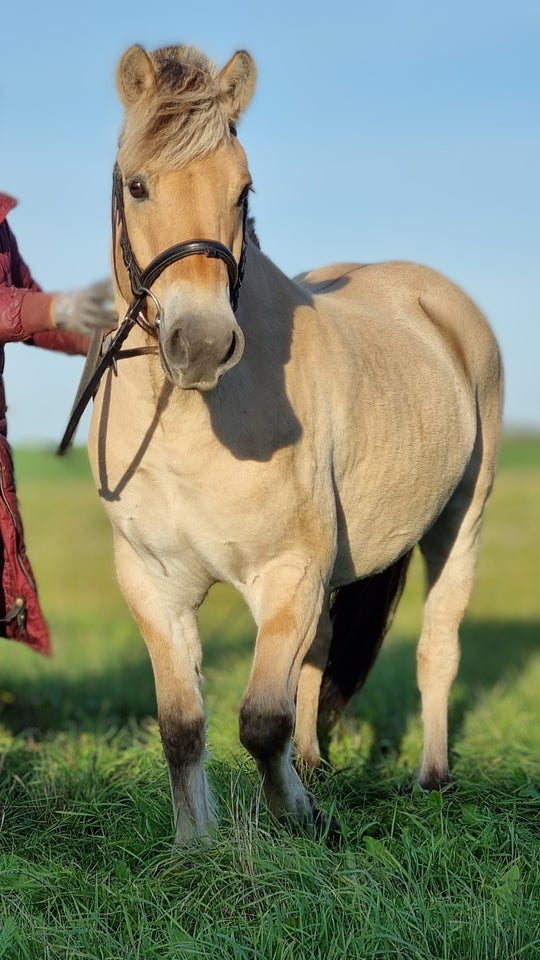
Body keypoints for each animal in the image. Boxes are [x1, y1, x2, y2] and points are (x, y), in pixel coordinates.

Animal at [86, 41, 504, 844]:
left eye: (242, 189)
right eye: (138, 185)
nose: (202, 344)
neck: (196, 428)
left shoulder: (288, 573)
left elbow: (258, 719)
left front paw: (301, 818)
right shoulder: (153, 584)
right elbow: (183, 724)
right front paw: (195, 843)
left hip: (459, 524)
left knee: (437, 649)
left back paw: (431, 780)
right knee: (320, 654)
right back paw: (316, 764)